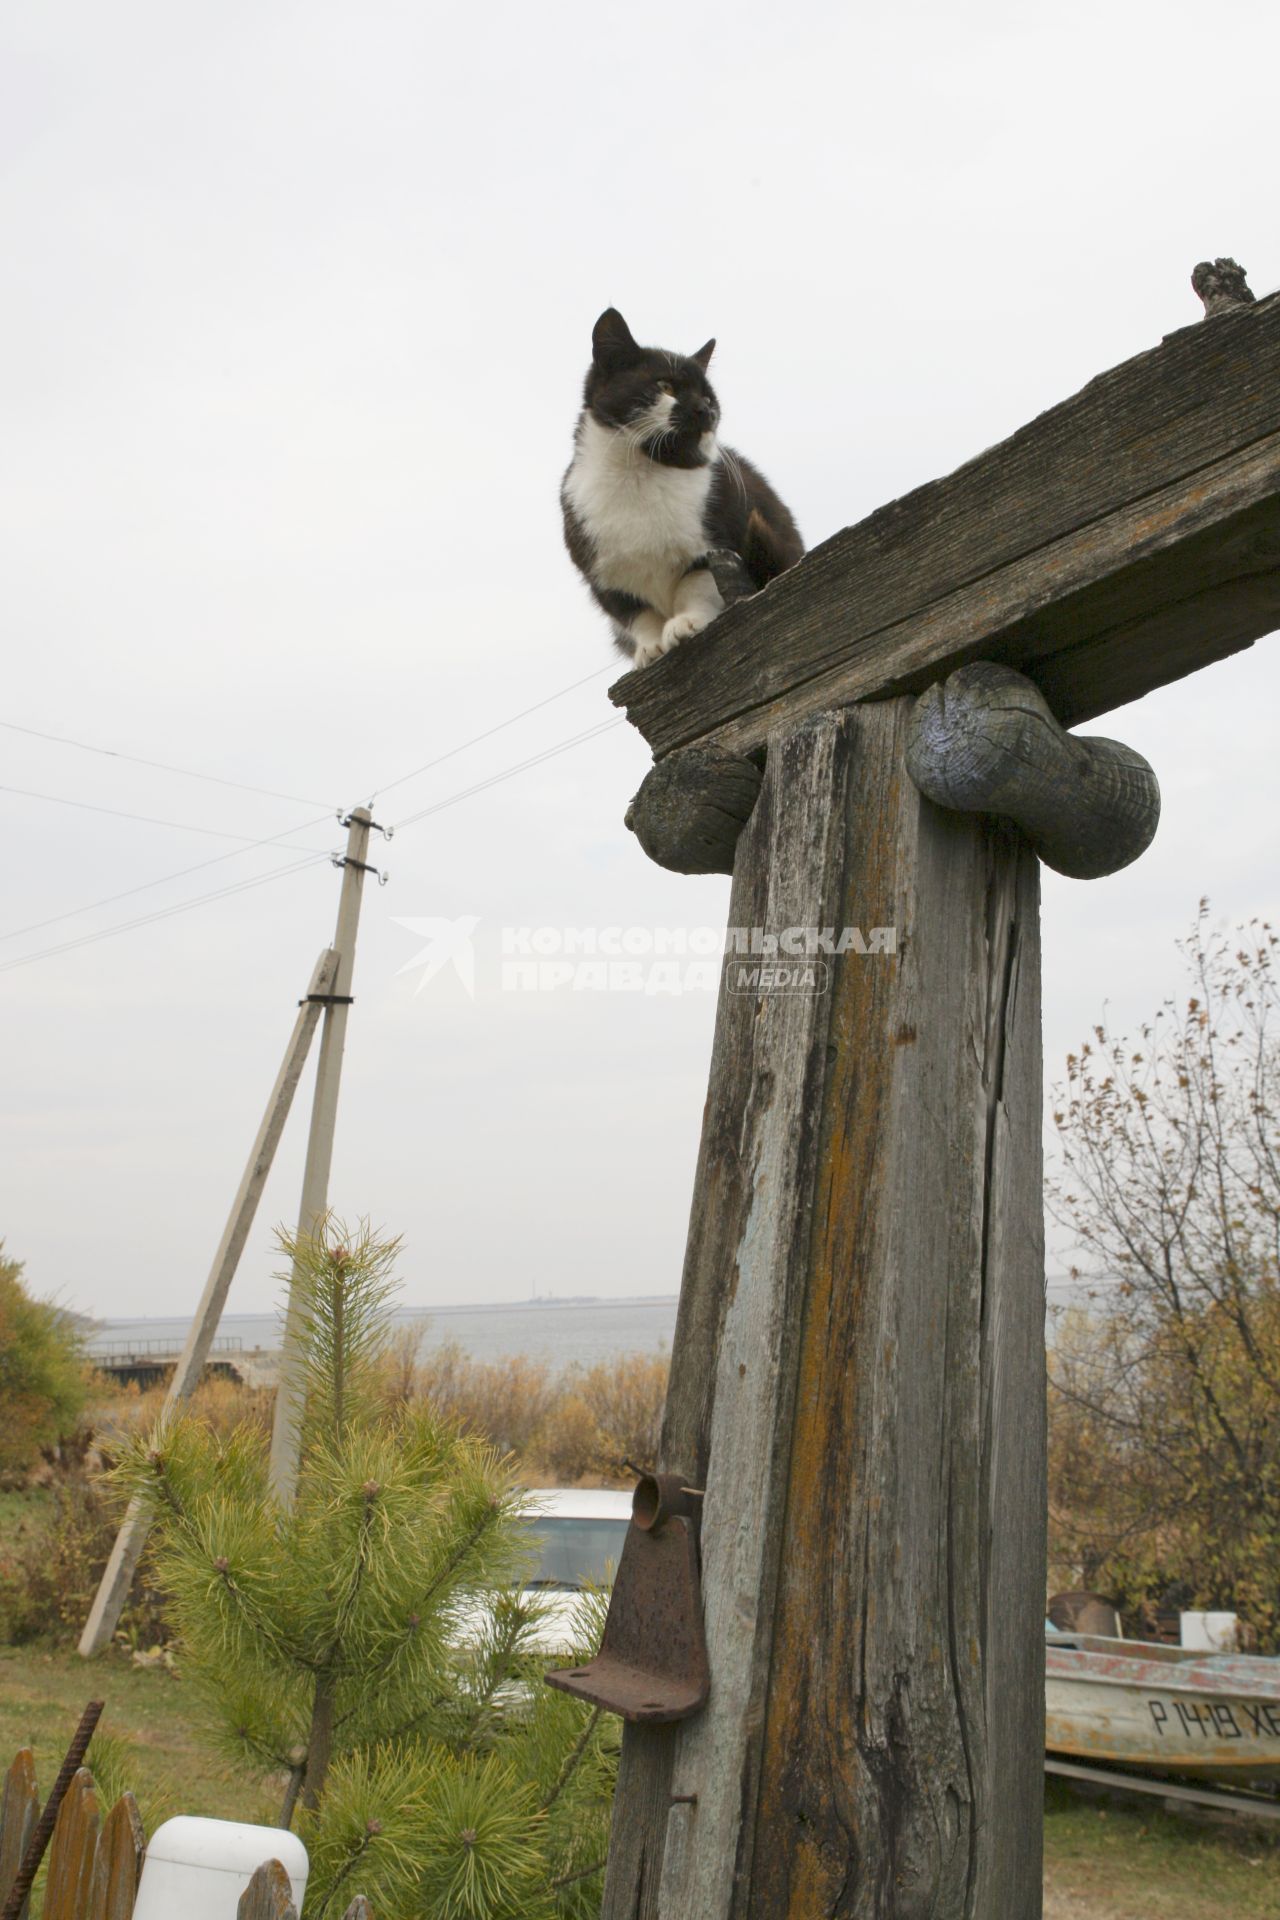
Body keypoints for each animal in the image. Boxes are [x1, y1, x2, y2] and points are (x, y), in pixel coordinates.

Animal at [560, 311, 802, 672]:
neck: (639, 472)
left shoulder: (715, 535)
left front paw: (686, 622)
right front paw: (649, 646)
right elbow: (636, 613)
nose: (706, 410)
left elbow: (697, 583)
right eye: (666, 386)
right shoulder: (602, 574)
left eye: (710, 397)